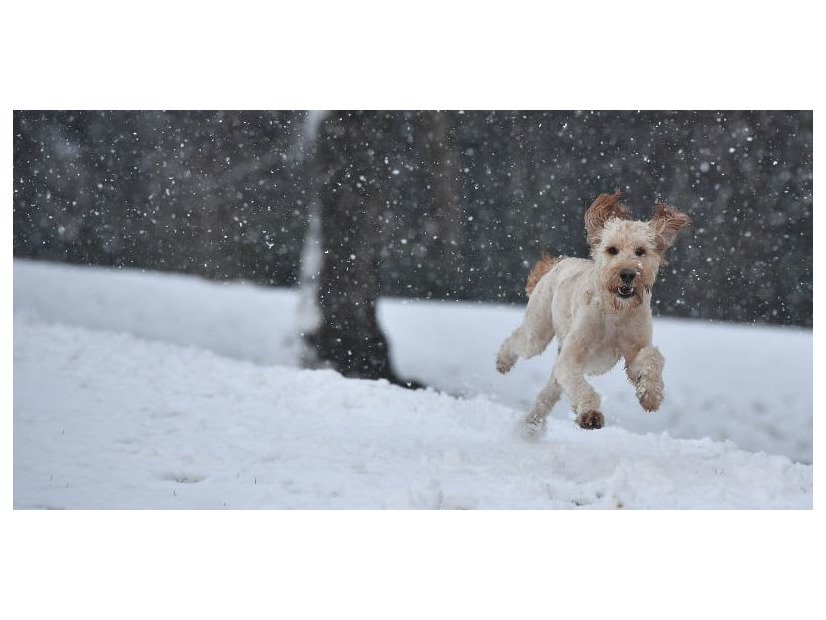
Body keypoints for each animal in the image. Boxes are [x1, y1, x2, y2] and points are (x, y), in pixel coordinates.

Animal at [496, 190, 688, 436]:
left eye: (641, 251)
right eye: (612, 249)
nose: (627, 274)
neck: (616, 312)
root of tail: (560, 261)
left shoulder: (633, 350)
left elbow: (651, 357)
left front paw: (650, 394)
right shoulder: (571, 356)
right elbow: (581, 387)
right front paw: (590, 414)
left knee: (547, 394)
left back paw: (531, 424)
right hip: (538, 331)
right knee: (519, 340)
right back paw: (503, 362)